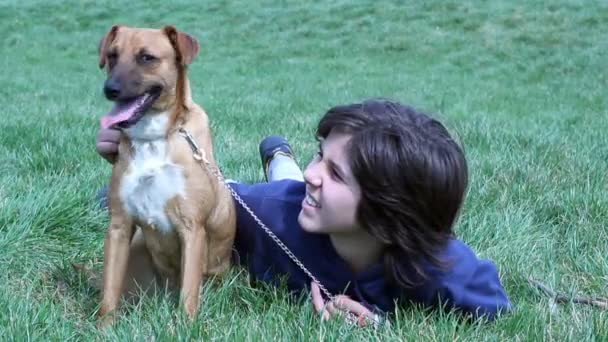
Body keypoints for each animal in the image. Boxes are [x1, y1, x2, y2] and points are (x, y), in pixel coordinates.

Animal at [96, 24, 236, 326]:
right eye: (112, 55)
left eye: (147, 57)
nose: (110, 89)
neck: (153, 138)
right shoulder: (119, 227)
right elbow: (109, 291)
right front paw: (103, 328)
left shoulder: (192, 228)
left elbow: (189, 295)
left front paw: (184, 328)